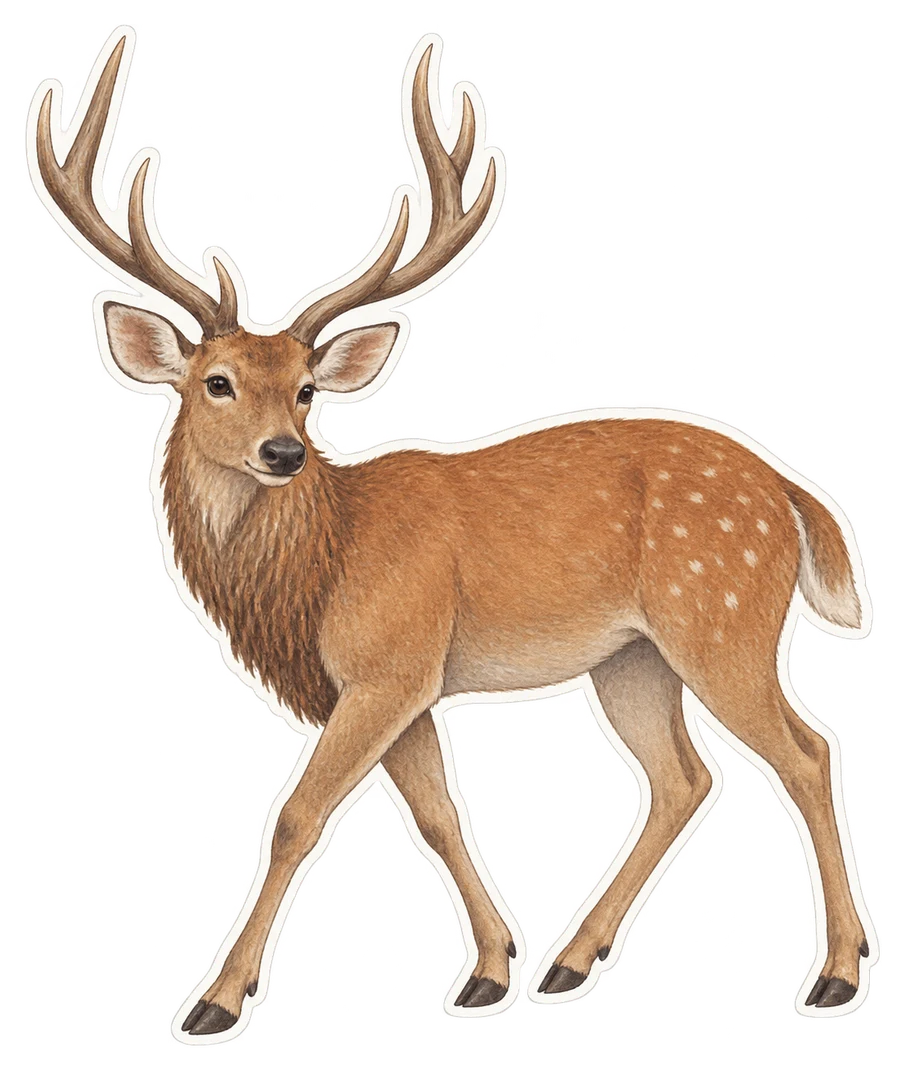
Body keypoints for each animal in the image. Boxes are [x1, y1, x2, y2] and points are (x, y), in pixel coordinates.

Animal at [27, 27, 875, 1039]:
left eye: (305, 390)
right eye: (216, 383)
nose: (283, 453)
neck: (322, 567)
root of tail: (789, 493)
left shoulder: (388, 662)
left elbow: (297, 816)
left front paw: (214, 1002)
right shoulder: (405, 682)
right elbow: (436, 814)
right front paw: (487, 972)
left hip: (721, 616)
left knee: (806, 750)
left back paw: (835, 975)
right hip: (631, 654)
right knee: (684, 777)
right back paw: (570, 961)